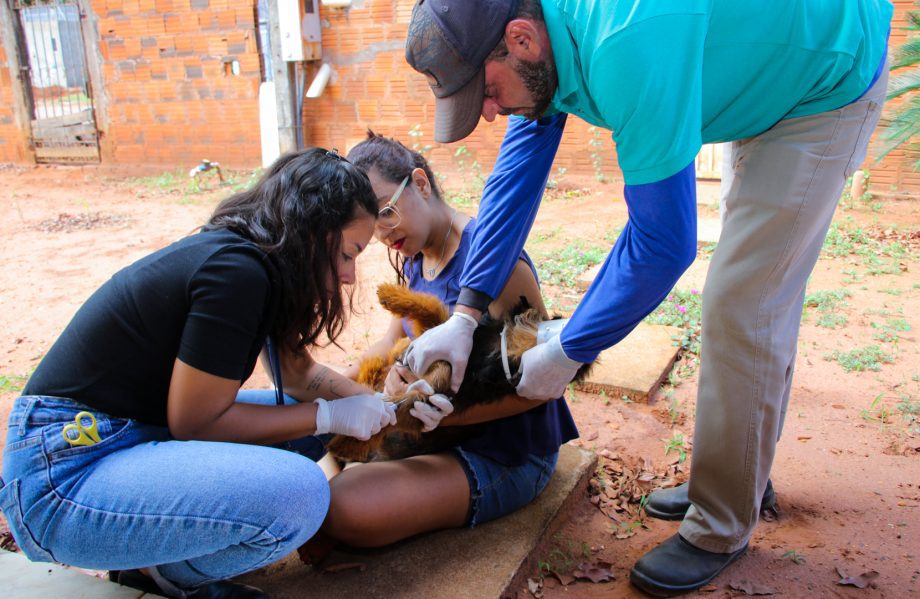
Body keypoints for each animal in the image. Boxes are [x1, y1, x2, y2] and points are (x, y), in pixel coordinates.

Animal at [328, 286, 592, 464]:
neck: (497, 351)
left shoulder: (435, 397)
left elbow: (396, 410)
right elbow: (433, 308)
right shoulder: (446, 339)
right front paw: (389, 293)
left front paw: (346, 442)